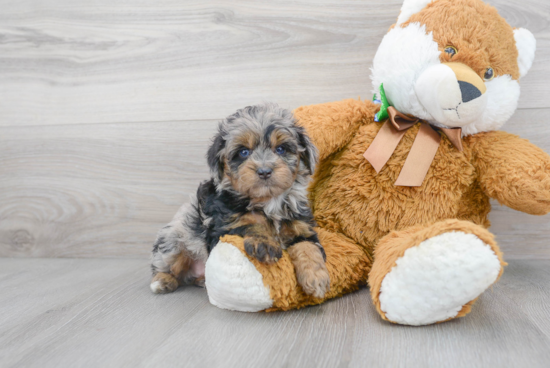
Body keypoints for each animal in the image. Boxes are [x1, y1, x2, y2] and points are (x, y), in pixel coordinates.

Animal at [150, 103, 332, 300]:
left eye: (281, 149)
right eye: (244, 152)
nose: (264, 171)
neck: (268, 201)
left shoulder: (301, 228)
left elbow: (308, 247)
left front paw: (316, 278)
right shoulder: (223, 226)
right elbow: (251, 221)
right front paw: (265, 243)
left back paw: (202, 280)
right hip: (174, 239)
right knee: (166, 263)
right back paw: (162, 281)